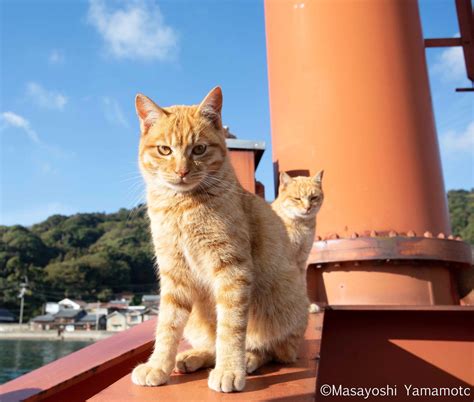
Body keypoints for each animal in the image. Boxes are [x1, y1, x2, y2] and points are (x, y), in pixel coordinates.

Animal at [131, 86, 308, 392]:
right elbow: (167, 326)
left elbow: (231, 328)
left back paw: (247, 359)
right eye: (165, 150)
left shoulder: (232, 269)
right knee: (211, 344)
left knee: (272, 350)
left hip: (285, 306)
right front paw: (158, 366)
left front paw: (229, 369)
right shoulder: (175, 274)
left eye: (199, 149)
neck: (182, 207)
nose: (181, 171)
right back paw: (192, 356)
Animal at [272, 171, 324, 312]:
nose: (308, 208)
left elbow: (302, 284)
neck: (301, 226)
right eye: (297, 199)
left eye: (313, 198)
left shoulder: (302, 258)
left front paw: (306, 305)